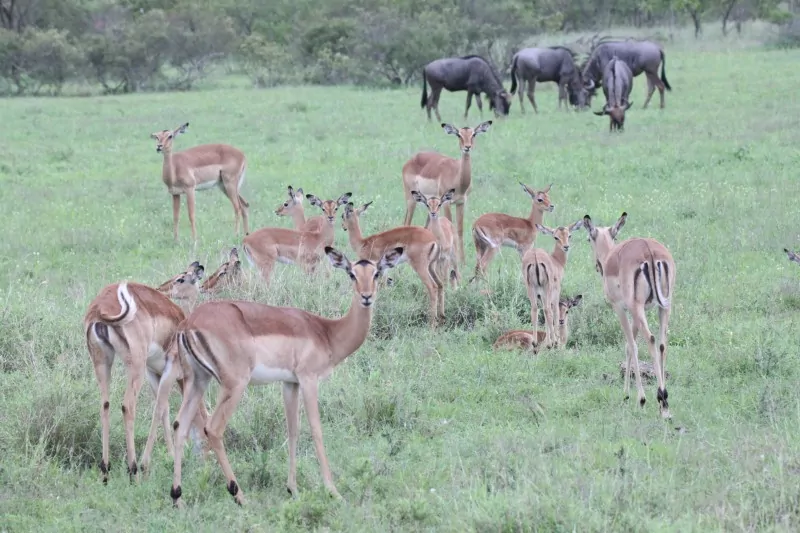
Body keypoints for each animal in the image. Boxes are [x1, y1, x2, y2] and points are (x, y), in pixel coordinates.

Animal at [84, 267, 209, 484]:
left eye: (181, 278)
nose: (206, 460)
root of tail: (100, 307)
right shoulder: (169, 372)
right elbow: (159, 410)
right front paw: (146, 465)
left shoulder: (154, 373)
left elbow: (165, 410)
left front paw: (170, 455)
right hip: (136, 366)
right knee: (127, 406)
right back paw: (133, 470)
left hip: (102, 363)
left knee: (105, 405)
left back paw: (105, 470)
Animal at [167, 246, 403, 507]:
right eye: (352, 274)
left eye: (376, 273)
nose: (366, 296)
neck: (327, 333)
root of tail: (188, 323)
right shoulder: (309, 379)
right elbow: (316, 430)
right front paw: (333, 491)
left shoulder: (290, 383)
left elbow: (293, 430)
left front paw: (293, 489)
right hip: (233, 385)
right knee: (213, 428)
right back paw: (239, 495)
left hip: (197, 381)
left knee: (180, 425)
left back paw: (177, 497)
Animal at [402, 121, 493, 266]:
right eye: (459, 135)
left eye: (473, 134)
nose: (467, 147)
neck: (457, 177)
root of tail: (412, 159)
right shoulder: (446, 203)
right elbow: (451, 225)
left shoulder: (461, 202)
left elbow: (459, 230)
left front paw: (462, 261)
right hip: (411, 200)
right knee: (406, 223)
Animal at [583, 212, 676, 418]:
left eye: (588, 238)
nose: (597, 266)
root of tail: (650, 252)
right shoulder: (635, 315)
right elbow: (628, 347)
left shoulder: (620, 308)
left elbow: (631, 346)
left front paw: (633, 398)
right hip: (664, 307)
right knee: (662, 343)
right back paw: (664, 404)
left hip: (637, 307)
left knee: (649, 340)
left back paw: (660, 398)